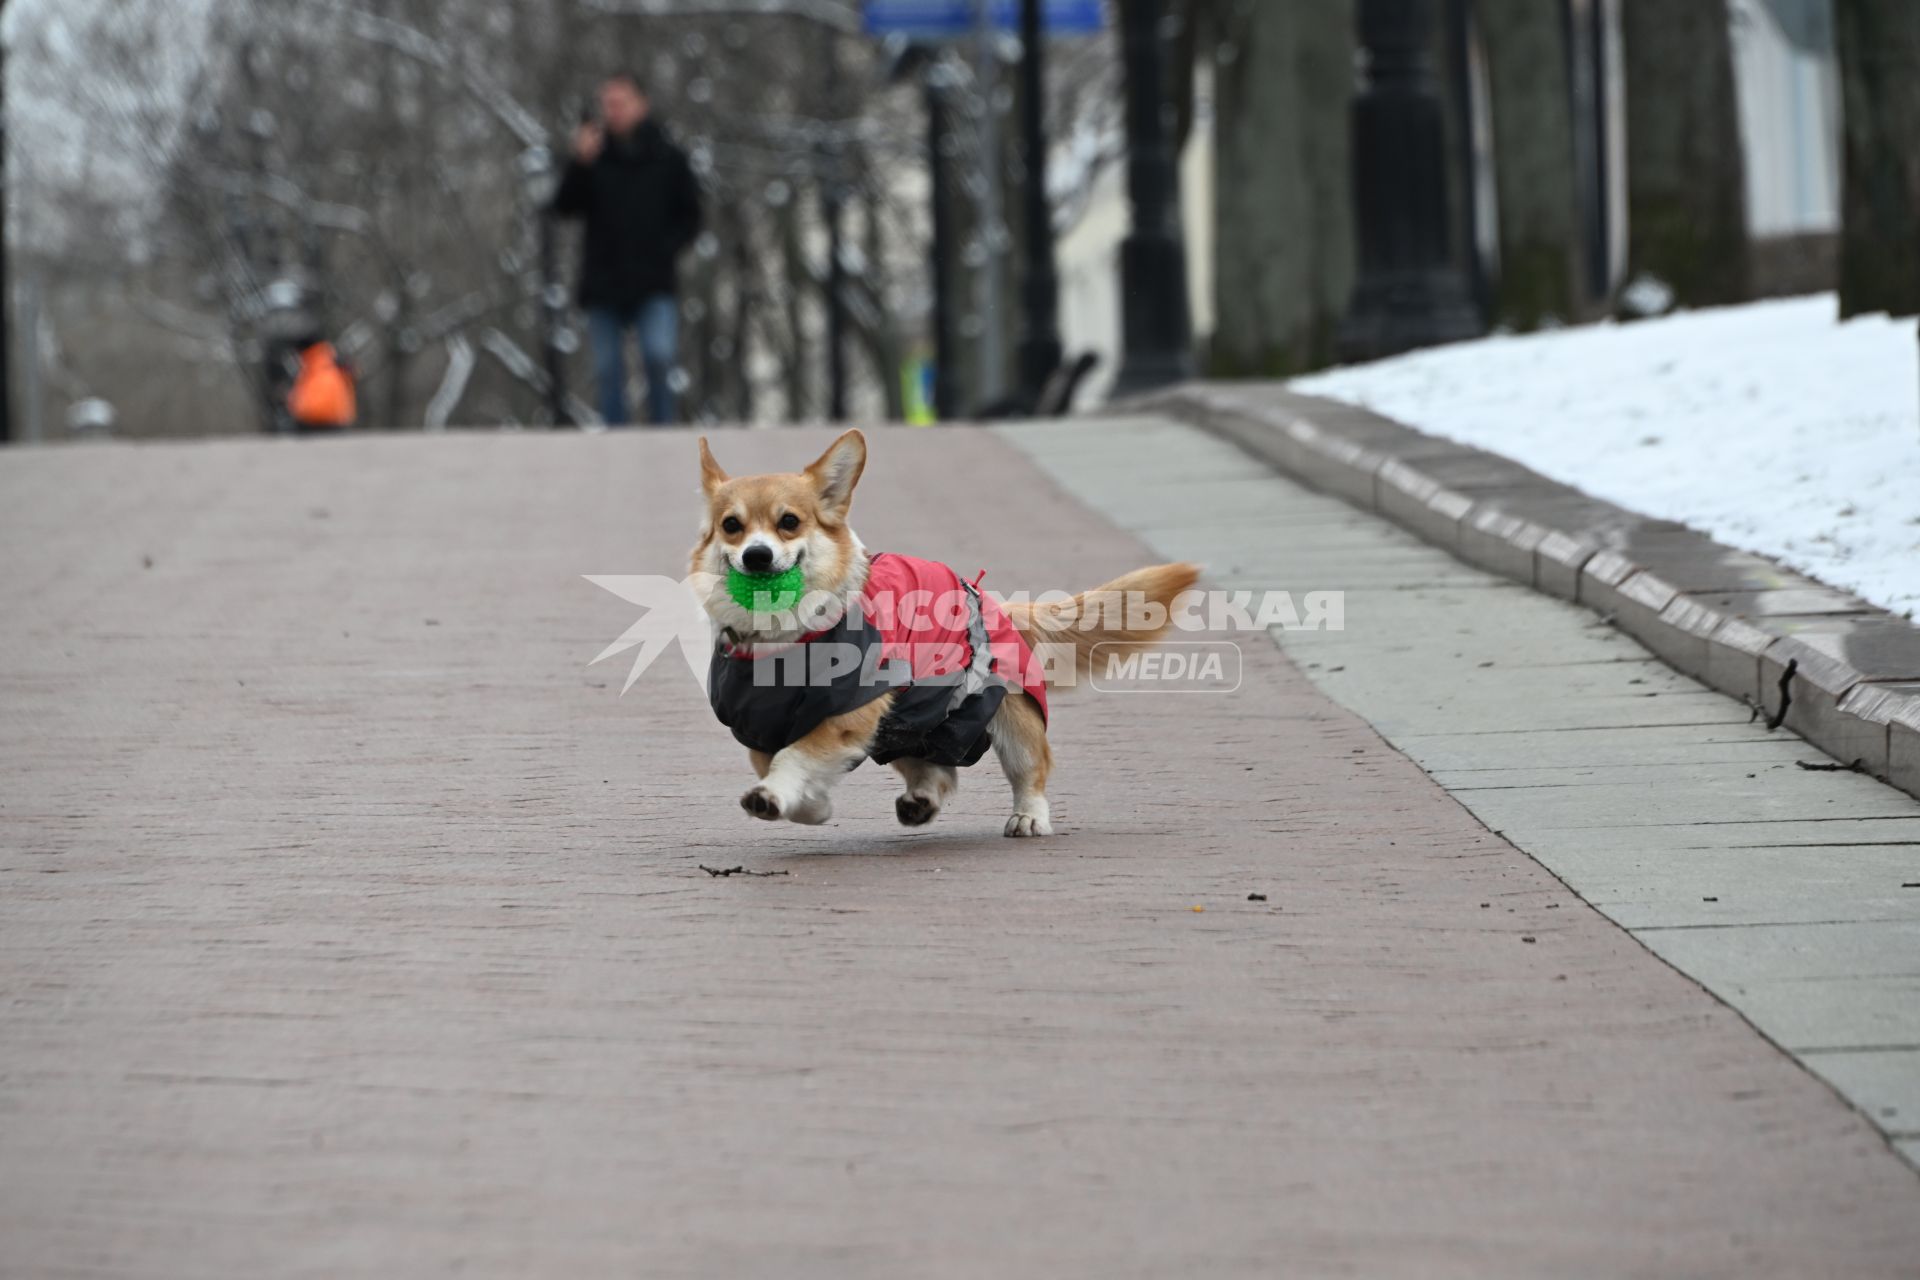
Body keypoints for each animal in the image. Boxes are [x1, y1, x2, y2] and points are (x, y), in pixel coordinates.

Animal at [691, 429, 1198, 840]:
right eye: (731, 526)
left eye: (790, 521)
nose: (757, 556)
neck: (782, 641)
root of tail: (997, 604)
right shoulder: (765, 732)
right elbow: (792, 771)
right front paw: (809, 807)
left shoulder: (847, 715)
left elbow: (795, 759)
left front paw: (773, 796)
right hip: (908, 719)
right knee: (938, 772)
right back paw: (922, 801)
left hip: (1010, 719)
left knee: (1032, 769)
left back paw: (1029, 817)